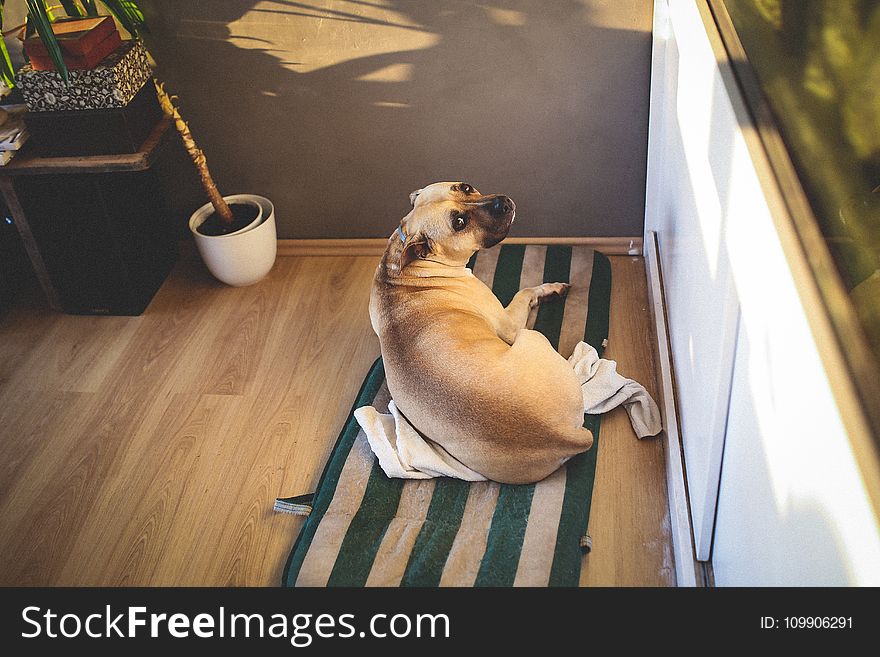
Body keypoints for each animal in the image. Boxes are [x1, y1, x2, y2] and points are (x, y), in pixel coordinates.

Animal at [368, 179, 596, 482]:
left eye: (464, 187)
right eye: (459, 223)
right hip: (532, 337)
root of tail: (562, 434)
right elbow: (525, 291)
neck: (408, 267)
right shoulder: (509, 324)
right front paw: (548, 289)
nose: (504, 202)